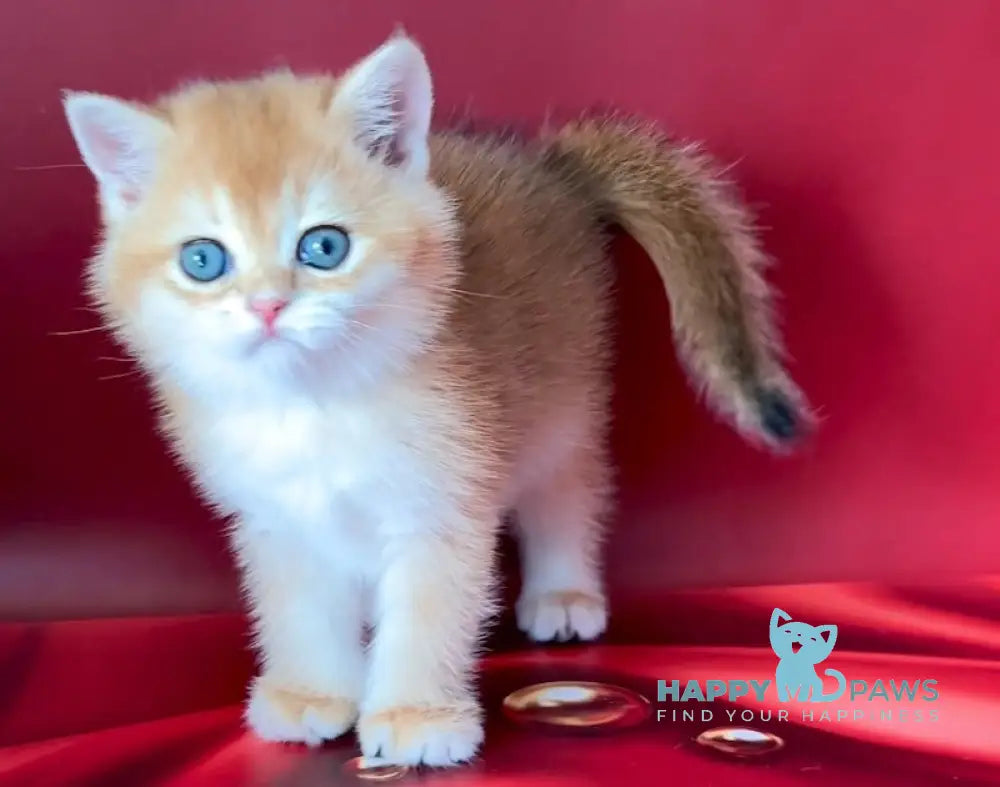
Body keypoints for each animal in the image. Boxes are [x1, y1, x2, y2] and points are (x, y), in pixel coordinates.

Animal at [62, 33, 812, 768]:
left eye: (324, 246)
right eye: (204, 260)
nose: (267, 306)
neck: (314, 404)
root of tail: (554, 168)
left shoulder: (442, 504)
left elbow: (429, 615)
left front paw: (415, 716)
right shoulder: (277, 520)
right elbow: (300, 608)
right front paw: (311, 692)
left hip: (562, 401)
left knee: (568, 491)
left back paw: (562, 592)